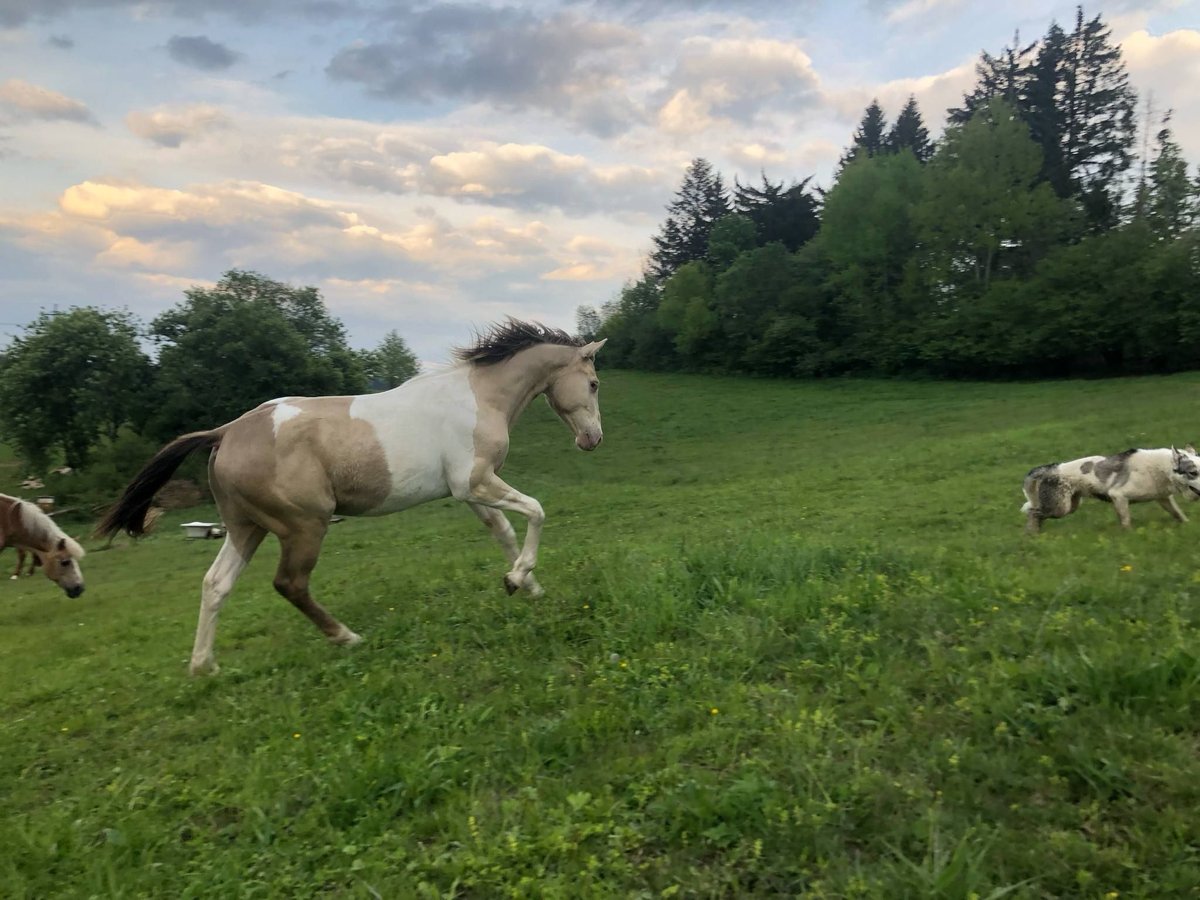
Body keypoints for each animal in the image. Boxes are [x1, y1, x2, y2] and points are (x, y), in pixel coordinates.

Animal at [97, 319, 606, 675]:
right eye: (595, 383)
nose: (593, 440)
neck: (478, 397)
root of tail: (224, 433)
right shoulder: (476, 480)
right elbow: (536, 511)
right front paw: (519, 578)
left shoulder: (467, 489)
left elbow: (503, 531)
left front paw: (526, 586)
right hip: (303, 526)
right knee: (289, 584)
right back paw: (347, 638)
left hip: (246, 528)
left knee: (215, 584)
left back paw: (204, 666)